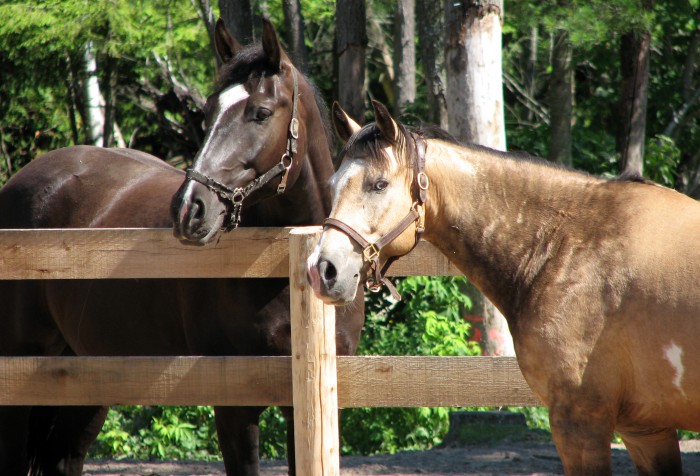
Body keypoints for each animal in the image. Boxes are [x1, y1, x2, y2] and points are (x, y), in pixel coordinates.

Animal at [1, 19, 366, 476]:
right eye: (207, 112)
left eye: (261, 113)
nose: (190, 208)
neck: (286, 268)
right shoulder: (235, 407)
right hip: (21, 371)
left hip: (85, 374)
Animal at [308, 99, 700, 472]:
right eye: (332, 185)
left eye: (379, 184)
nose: (322, 270)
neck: (570, 243)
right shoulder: (646, 431)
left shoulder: (580, 422)